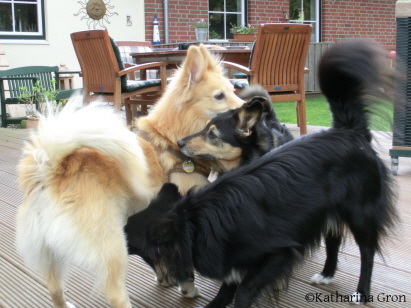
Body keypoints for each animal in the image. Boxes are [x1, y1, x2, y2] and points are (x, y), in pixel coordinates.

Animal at [16, 44, 243, 308]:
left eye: (233, 91)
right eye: (219, 96)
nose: (255, 106)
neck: (170, 140)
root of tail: (52, 168)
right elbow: (183, 264)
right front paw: (187, 287)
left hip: (51, 253)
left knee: (54, 289)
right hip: (112, 247)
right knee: (115, 293)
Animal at [124, 39, 400, 306]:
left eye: (212, 134)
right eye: (219, 97)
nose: (181, 143)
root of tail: (349, 130)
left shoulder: (280, 251)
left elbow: (244, 291)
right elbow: (226, 289)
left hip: (359, 212)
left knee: (367, 253)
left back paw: (361, 292)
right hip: (327, 209)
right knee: (333, 239)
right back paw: (326, 274)